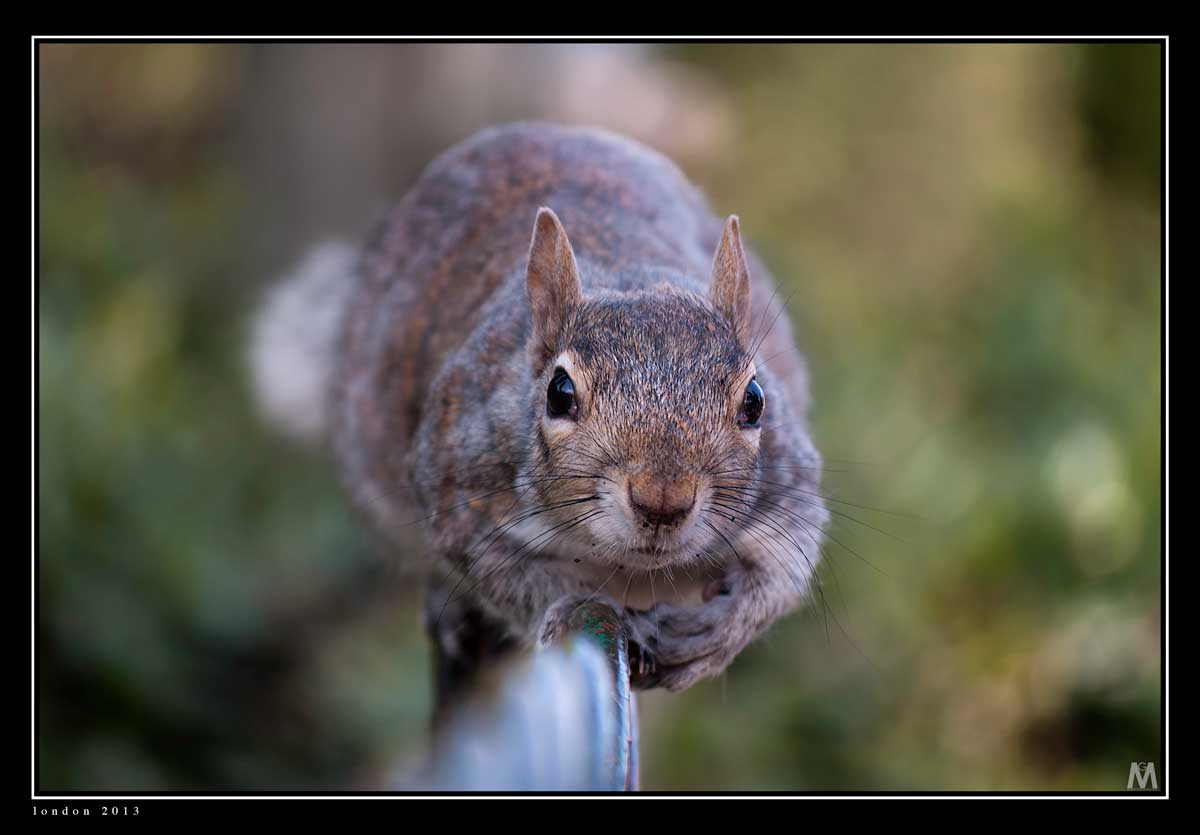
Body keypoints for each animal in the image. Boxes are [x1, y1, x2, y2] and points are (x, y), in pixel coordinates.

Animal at [252, 122, 828, 698]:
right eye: (559, 393)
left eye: (754, 401)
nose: (663, 501)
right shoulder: (462, 489)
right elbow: (504, 576)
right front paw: (571, 602)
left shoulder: (787, 479)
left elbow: (784, 568)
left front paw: (713, 635)